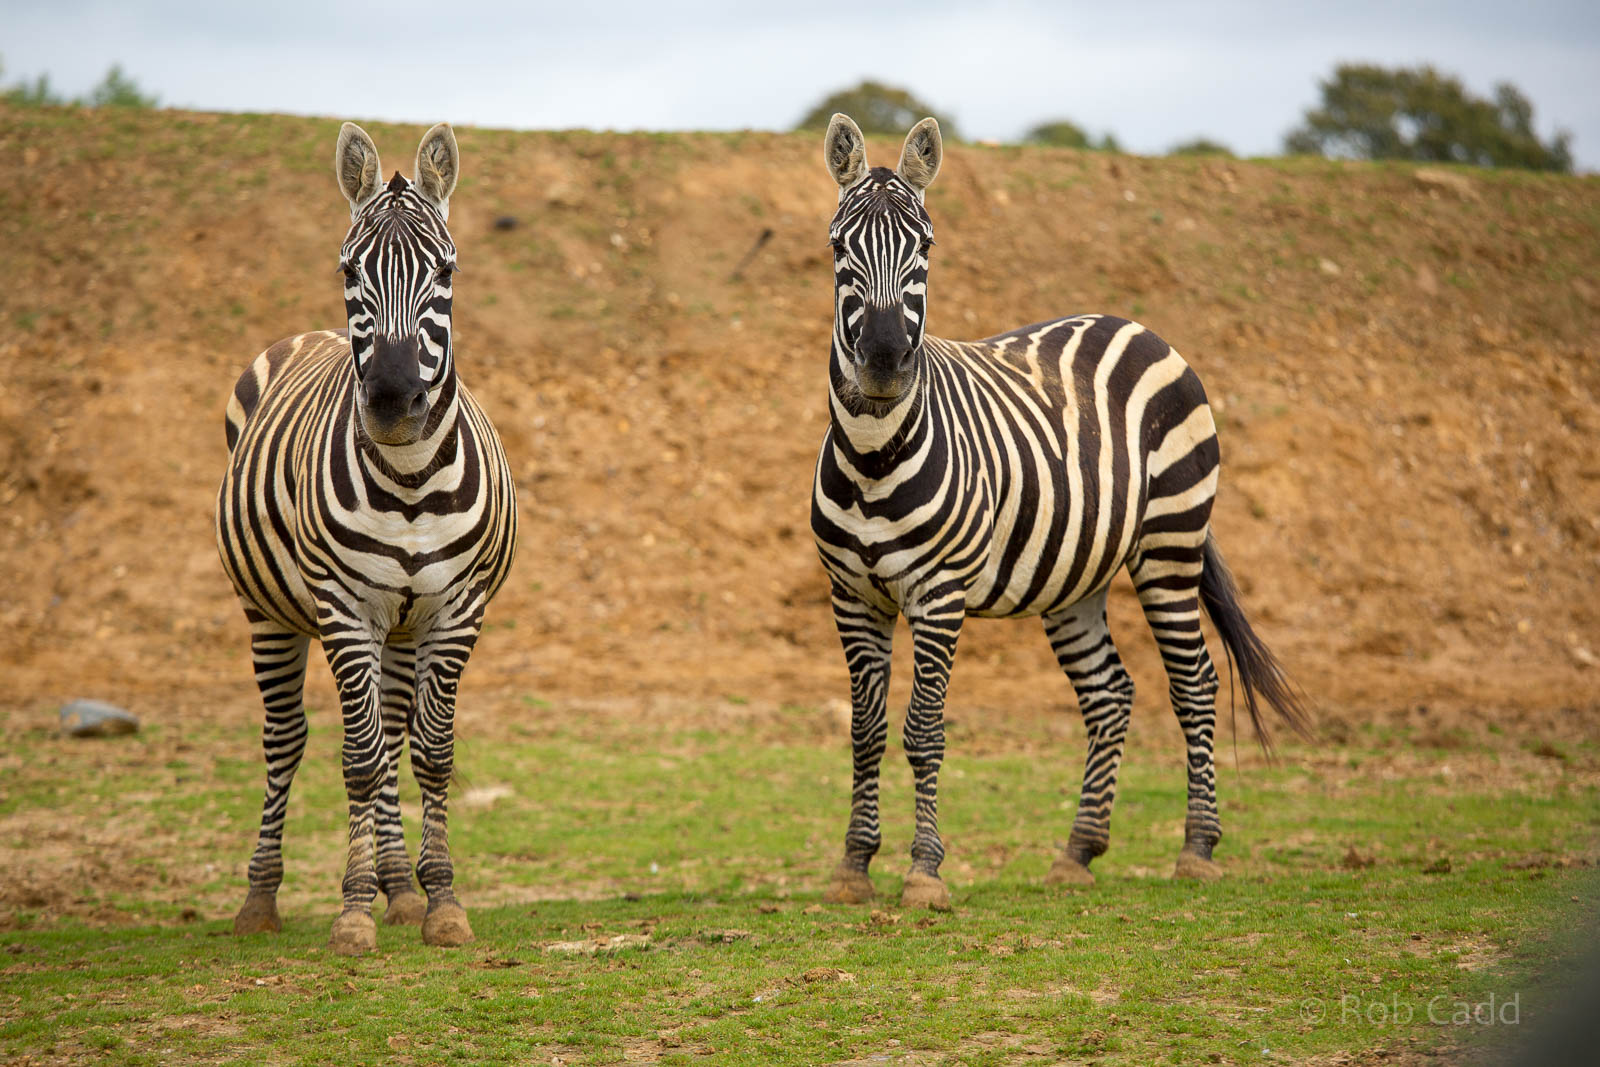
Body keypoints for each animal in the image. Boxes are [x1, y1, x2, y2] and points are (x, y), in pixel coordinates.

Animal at [216, 122, 517, 954]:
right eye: (349, 268)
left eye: (446, 268)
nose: (391, 399)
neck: (410, 479)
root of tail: (309, 334)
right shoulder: (344, 608)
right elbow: (357, 759)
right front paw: (353, 913)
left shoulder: (457, 608)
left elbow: (431, 753)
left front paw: (440, 900)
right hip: (271, 612)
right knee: (288, 737)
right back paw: (261, 898)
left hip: (403, 623)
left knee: (393, 730)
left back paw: (400, 889)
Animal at [810, 114, 1307, 911]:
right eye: (837, 247)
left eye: (926, 247)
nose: (885, 361)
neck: (873, 459)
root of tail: (1134, 325)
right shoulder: (852, 596)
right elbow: (865, 730)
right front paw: (855, 865)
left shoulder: (938, 595)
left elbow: (923, 730)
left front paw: (924, 871)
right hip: (1076, 580)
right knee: (1110, 694)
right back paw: (1079, 850)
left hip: (1170, 546)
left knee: (1194, 682)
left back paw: (1198, 847)